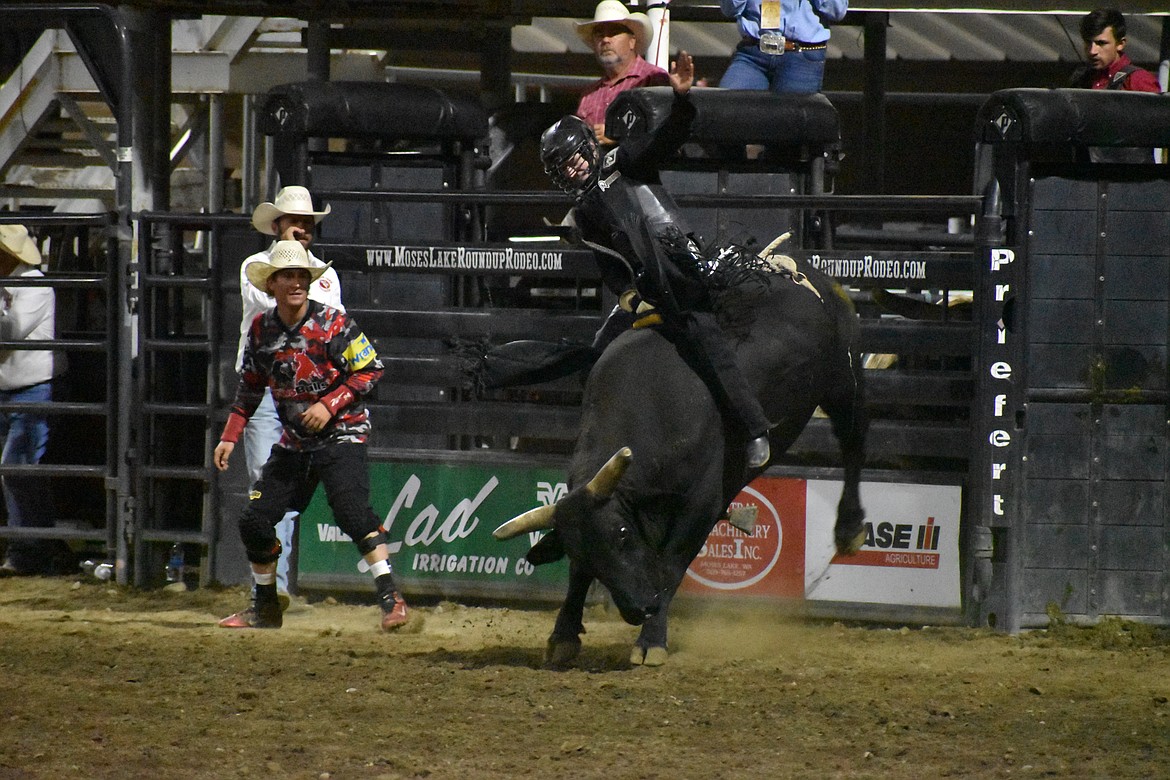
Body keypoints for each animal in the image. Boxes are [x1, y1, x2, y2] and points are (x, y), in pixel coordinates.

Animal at [489, 265, 865, 668]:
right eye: (582, 552)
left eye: (623, 534)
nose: (639, 608)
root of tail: (809, 274)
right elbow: (579, 575)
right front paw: (563, 635)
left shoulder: (699, 505)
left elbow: (670, 564)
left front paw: (651, 641)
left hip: (844, 380)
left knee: (854, 440)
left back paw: (850, 529)